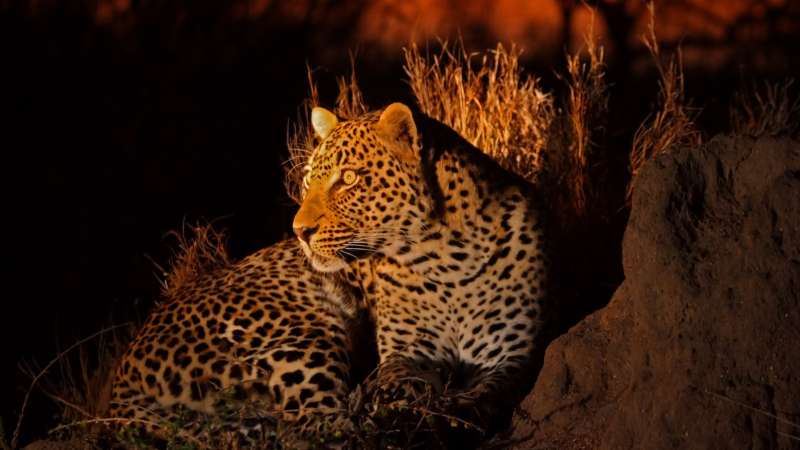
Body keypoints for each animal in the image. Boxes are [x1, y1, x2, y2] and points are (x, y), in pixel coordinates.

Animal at [292, 102, 548, 431]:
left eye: (348, 179)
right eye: (308, 181)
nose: (299, 231)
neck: (449, 262)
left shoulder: (513, 355)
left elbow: (488, 394)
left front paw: (452, 412)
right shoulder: (409, 351)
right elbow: (398, 377)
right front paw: (395, 404)